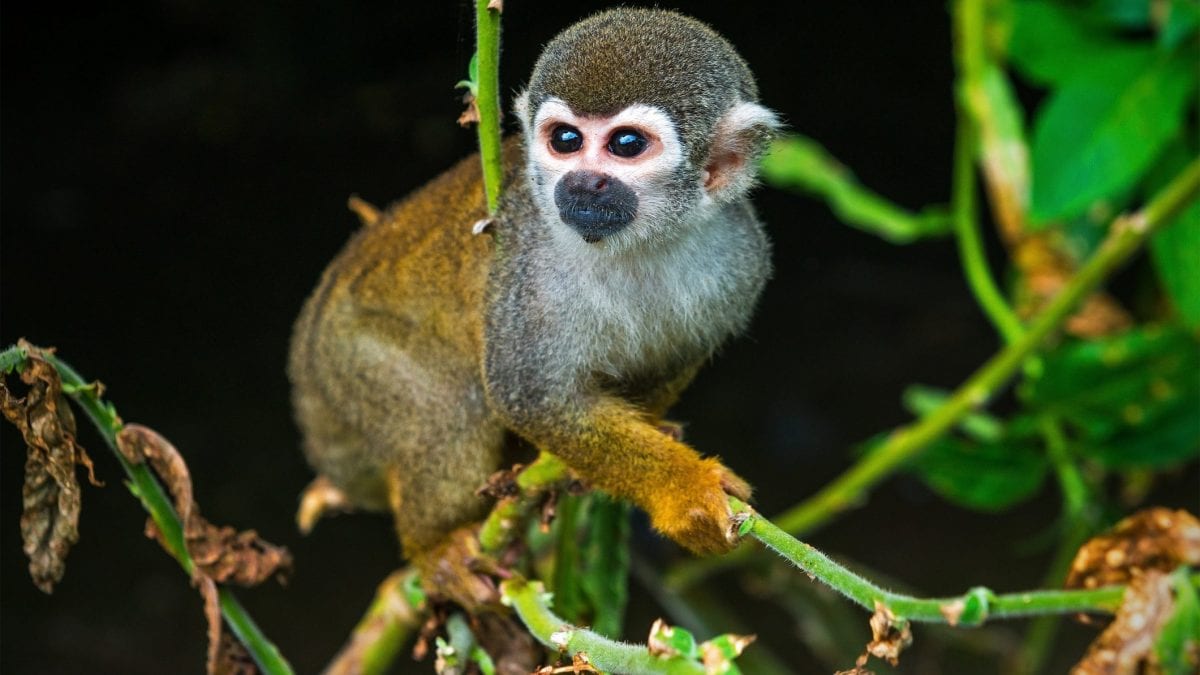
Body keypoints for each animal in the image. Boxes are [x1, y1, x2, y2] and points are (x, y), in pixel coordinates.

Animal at [288, 7, 779, 605]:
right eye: (565, 139)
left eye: (626, 145)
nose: (584, 182)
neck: (637, 244)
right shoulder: (531, 266)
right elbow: (531, 395)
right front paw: (681, 491)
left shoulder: (742, 257)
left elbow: (676, 359)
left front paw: (616, 452)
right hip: (351, 357)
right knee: (446, 410)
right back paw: (435, 547)